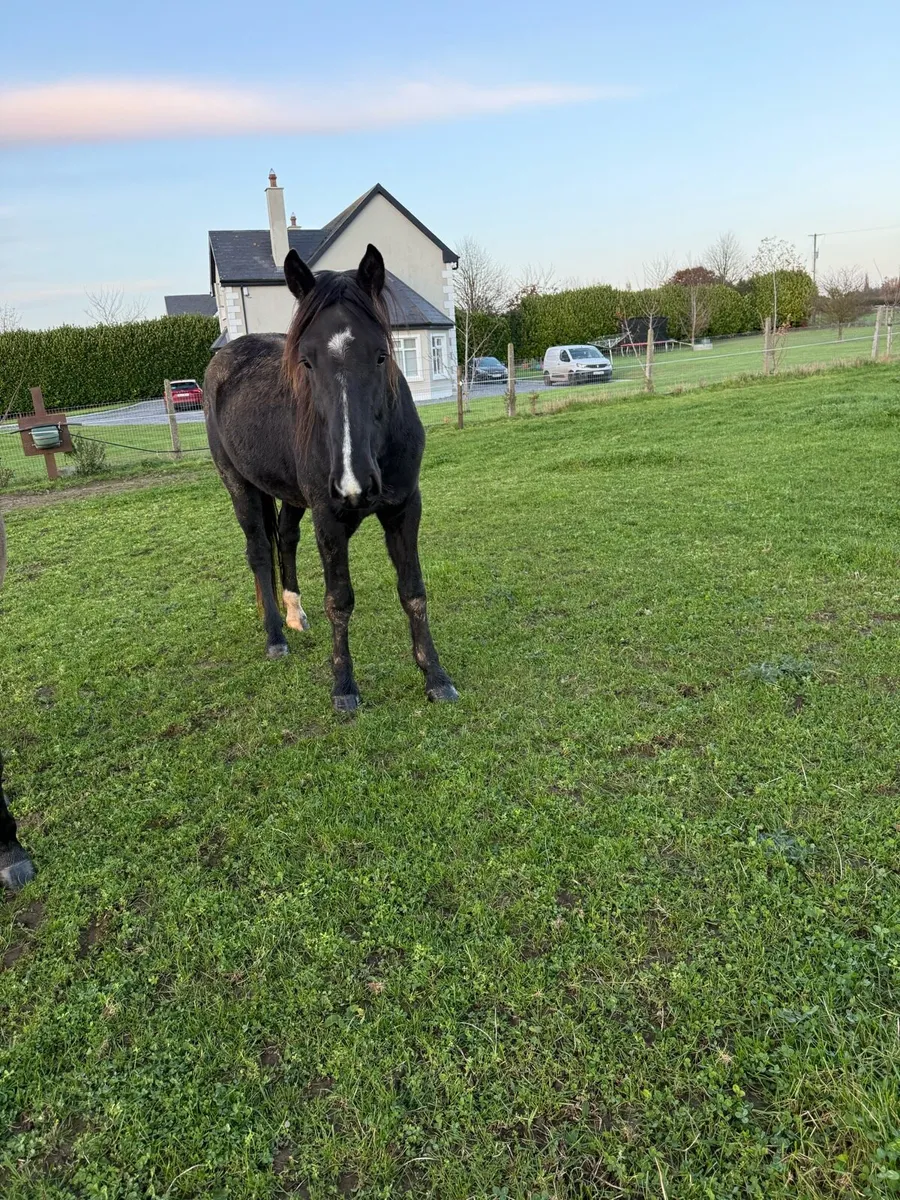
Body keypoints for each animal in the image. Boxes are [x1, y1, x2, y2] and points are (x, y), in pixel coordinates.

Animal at [203, 244, 458, 713]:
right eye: (306, 360)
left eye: (382, 354)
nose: (353, 483)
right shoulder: (328, 518)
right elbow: (339, 600)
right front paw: (344, 687)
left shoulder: (404, 509)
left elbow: (413, 591)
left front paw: (435, 676)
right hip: (239, 486)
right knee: (259, 551)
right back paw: (275, 635)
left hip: (289, 496)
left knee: (284, 540)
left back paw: (293, 613)